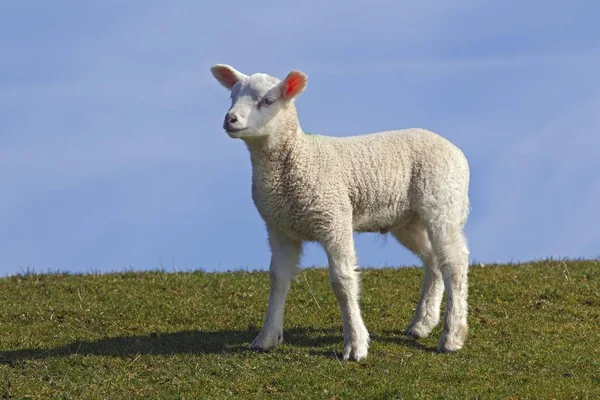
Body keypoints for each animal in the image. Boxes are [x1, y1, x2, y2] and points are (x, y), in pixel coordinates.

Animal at [210, 64, 468, 360]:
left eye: (267, 100)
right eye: (232, 97)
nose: (230, 119)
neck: (297, 159)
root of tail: (455, 150)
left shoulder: (334, 218)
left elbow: (342, 281)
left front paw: (355, 344)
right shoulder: (279, 228)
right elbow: (278, 278)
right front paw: (266, 338)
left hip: (442, 204)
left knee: (454, 263)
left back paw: (452, 335)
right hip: (407, 220)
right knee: (433, 260)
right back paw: (422, 323)